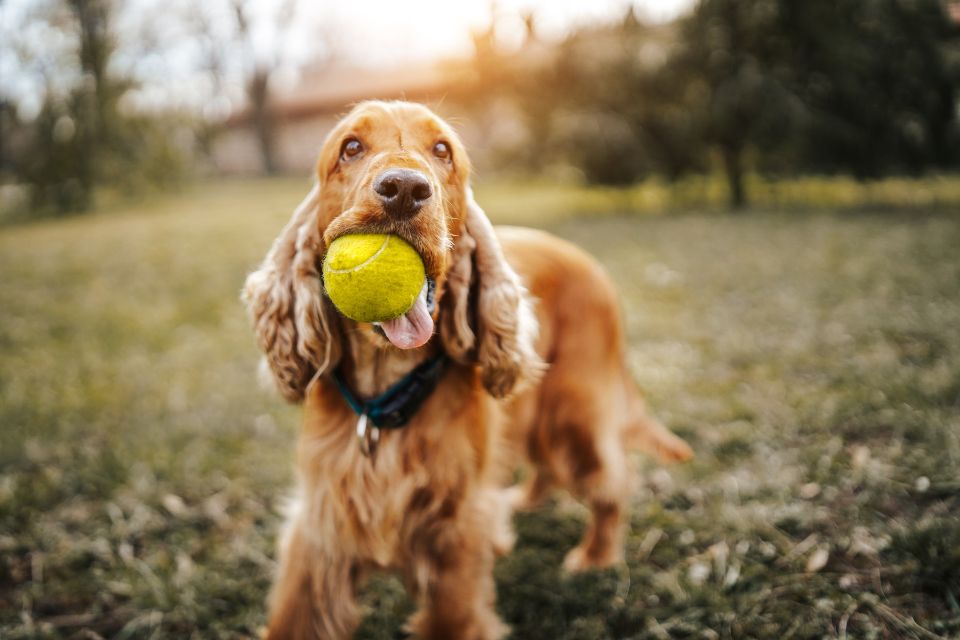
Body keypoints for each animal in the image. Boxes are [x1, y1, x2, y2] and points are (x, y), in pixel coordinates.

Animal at [240, 101, 688, 640]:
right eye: (350, 148)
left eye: (442, 150)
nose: (405, 188)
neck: (389, 393)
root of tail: (586, 261)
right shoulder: (322, 527)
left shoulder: (454, 536)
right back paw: (522, 503)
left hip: (574, 414)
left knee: (611, 481)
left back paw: (594, 556)